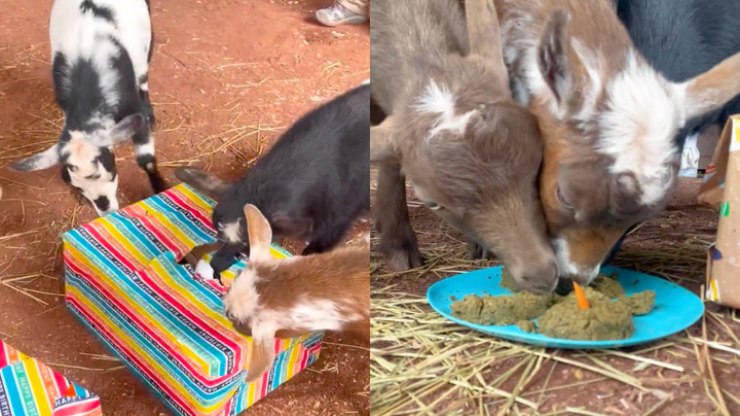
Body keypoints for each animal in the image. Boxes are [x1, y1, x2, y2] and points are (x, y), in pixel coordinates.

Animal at [10, 0, 164, 216]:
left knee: (143, 73)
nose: (107, 210)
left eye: (111, 173)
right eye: (77, 186)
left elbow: (146, 160)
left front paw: (161, 189)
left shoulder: (134, 113)